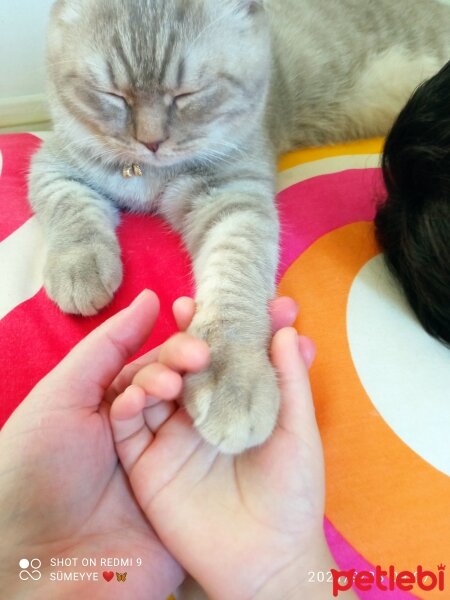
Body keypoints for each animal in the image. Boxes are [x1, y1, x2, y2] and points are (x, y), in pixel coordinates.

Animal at [29, 0, 450, 450]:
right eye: (113, 95)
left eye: (188, 95)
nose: (150, 142)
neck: (150, 174)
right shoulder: (52, 163)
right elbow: (70, 208)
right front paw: (80, 269)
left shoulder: (232, 198)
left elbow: (234, 280)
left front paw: (232, 374)